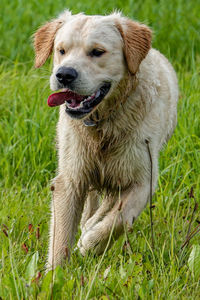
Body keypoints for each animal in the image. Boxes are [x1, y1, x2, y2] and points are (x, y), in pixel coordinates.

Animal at [33, 9, 179, 270]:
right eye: (61, 50)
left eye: (97, 52)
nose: (64, 74)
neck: (102, 124)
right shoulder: (71, 177)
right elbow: (61, 235)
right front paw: (54, 273)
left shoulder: (143, 179)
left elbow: (121, 218)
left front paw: (91, 244)